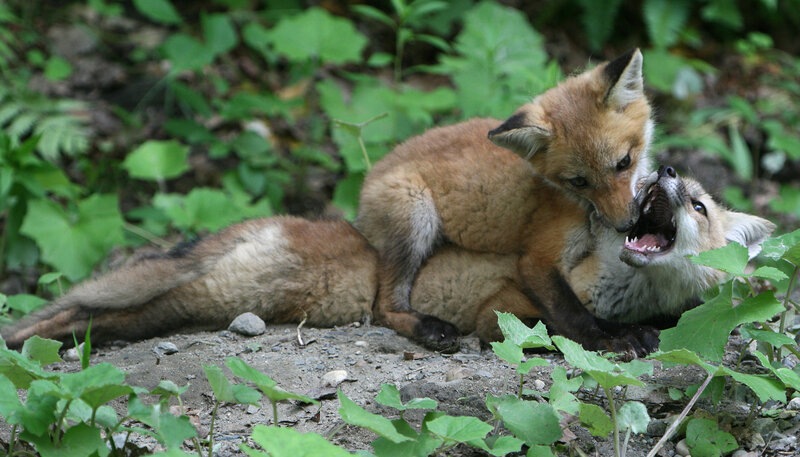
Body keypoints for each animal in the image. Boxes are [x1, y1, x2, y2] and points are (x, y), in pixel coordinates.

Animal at [355, 49, 657, 355]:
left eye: (624, 163)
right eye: (579, 182)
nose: (625, 224)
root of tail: (372, 174)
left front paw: (631, 330)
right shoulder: (537, 261)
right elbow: (574, 315)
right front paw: (607, 340)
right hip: (416, 216)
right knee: (384, 307)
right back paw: (429, 328)